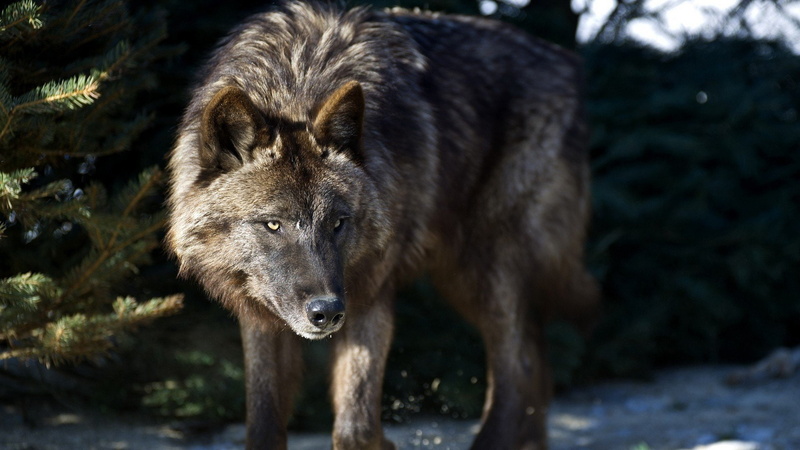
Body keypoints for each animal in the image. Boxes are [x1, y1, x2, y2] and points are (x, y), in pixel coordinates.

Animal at [166, 1, 599, 449]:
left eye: (338, 223)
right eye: (272, 224)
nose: (326, 312)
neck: (296, 83)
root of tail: (568, 62)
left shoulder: (369, 295)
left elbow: (355, 426)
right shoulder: (262, 316)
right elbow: (264, 423)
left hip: (489, 269)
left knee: (520, 366)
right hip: (463, 279)